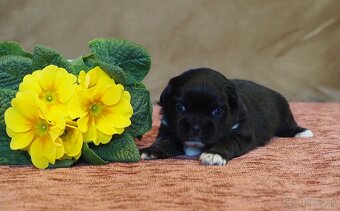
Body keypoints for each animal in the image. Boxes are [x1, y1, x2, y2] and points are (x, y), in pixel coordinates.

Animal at [139, 68, 314, 166]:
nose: (195, 128)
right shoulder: (168, 128)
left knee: (289, 126)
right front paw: (151, 150)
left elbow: (228, 141)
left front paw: (214, 154)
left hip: (285, 113)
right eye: (180, 107)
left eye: (217, 111)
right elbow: (165, 141)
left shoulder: (242, 133)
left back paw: (302, 132)